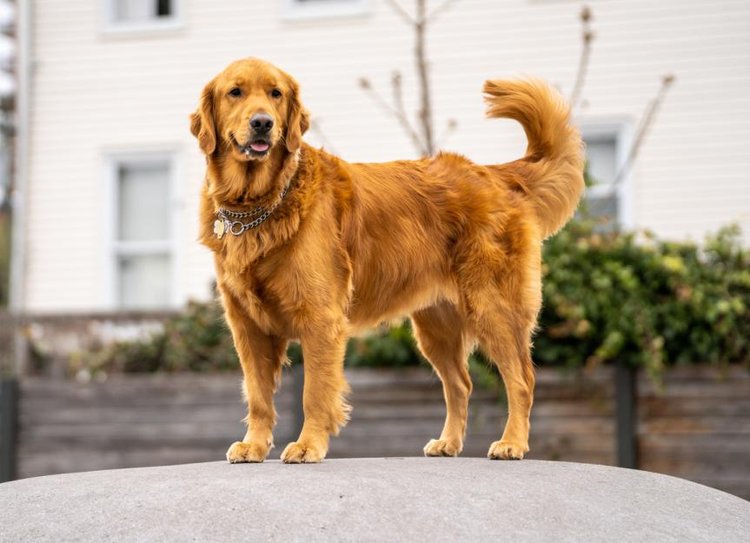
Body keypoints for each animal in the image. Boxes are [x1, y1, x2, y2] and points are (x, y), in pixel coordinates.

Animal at [189, 57, 588, 464]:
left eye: (276, 94)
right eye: (235, 92)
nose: (263, 123)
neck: (259, 204)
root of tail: (494, 173)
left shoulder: (320, 318)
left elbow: (314, 392)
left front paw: (307, 445)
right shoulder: (247, 325)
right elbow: (257, 395)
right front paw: (254, 445)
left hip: (493, 306)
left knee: (521, 379)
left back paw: (512, 442)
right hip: (435, 326)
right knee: (460, 384)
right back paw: (448, 442)